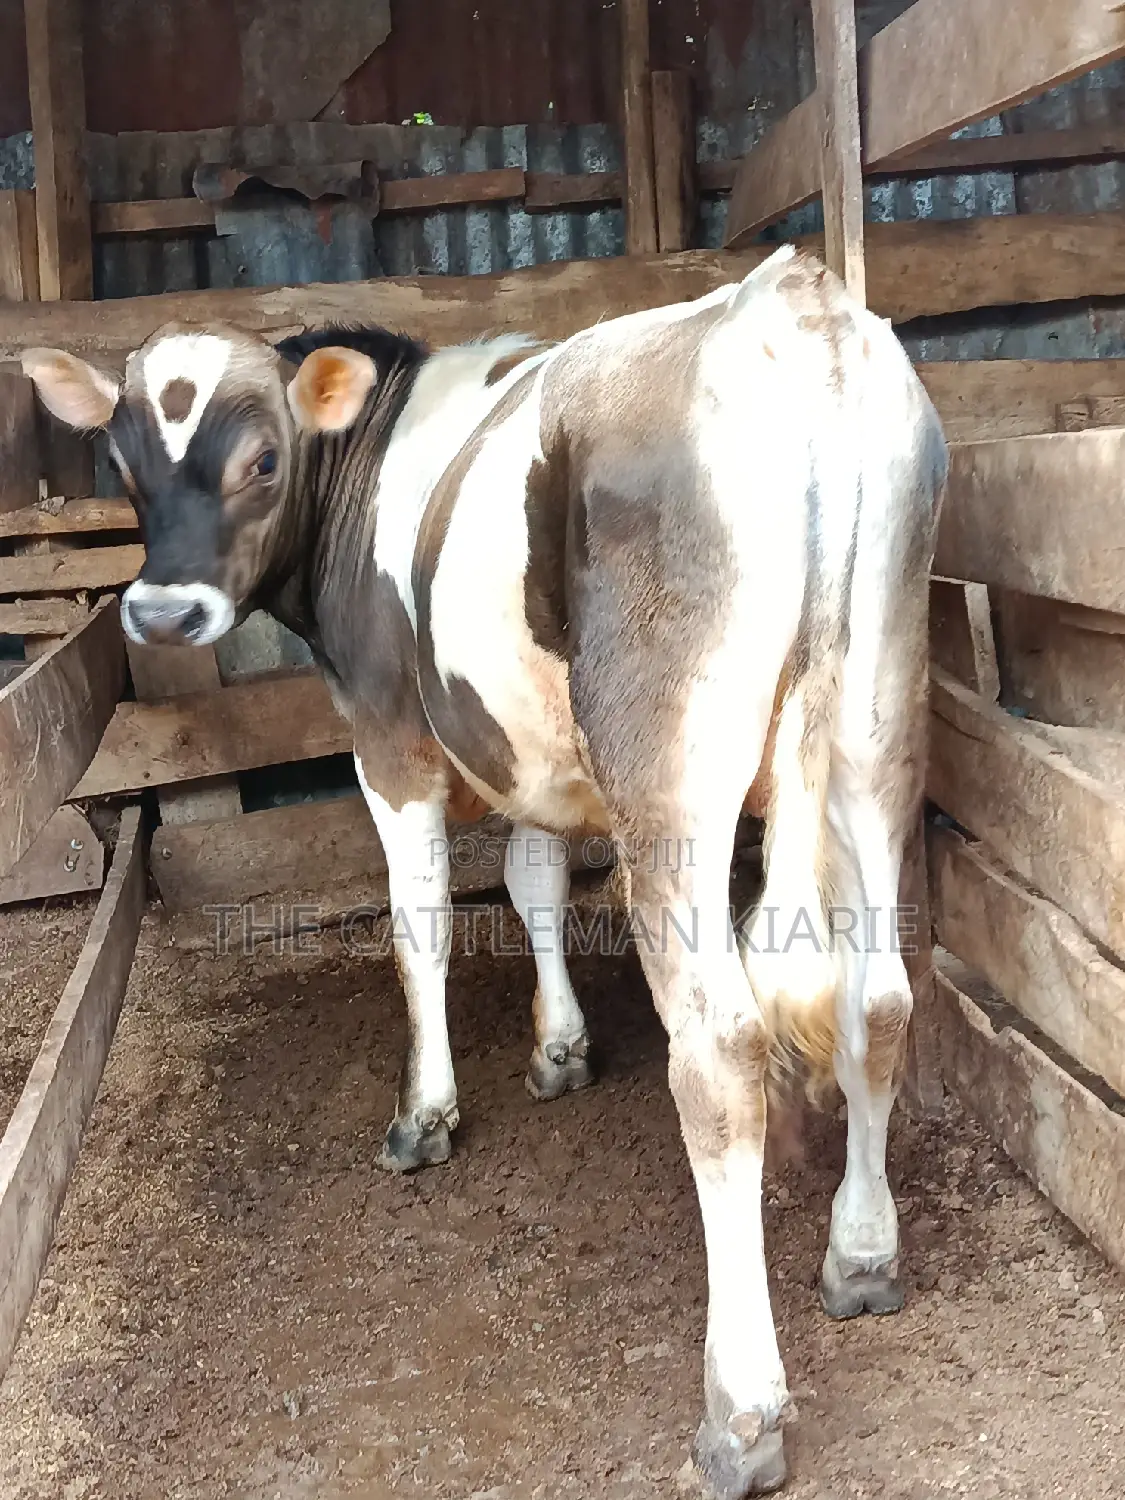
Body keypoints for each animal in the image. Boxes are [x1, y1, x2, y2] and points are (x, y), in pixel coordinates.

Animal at [22, 245, 947, 1497]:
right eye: (121, 463)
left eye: (261, 459)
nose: (163, 611)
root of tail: (793, 302)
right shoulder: (534, 750)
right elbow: (532, 880)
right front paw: (559, 1049)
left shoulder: (389, 741)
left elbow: (421, 927)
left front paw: (426, 1113)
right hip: (876, 735)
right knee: (880, 999)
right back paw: (862, 1255)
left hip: (674, 778)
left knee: (721, 1052)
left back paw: (740, 1411)